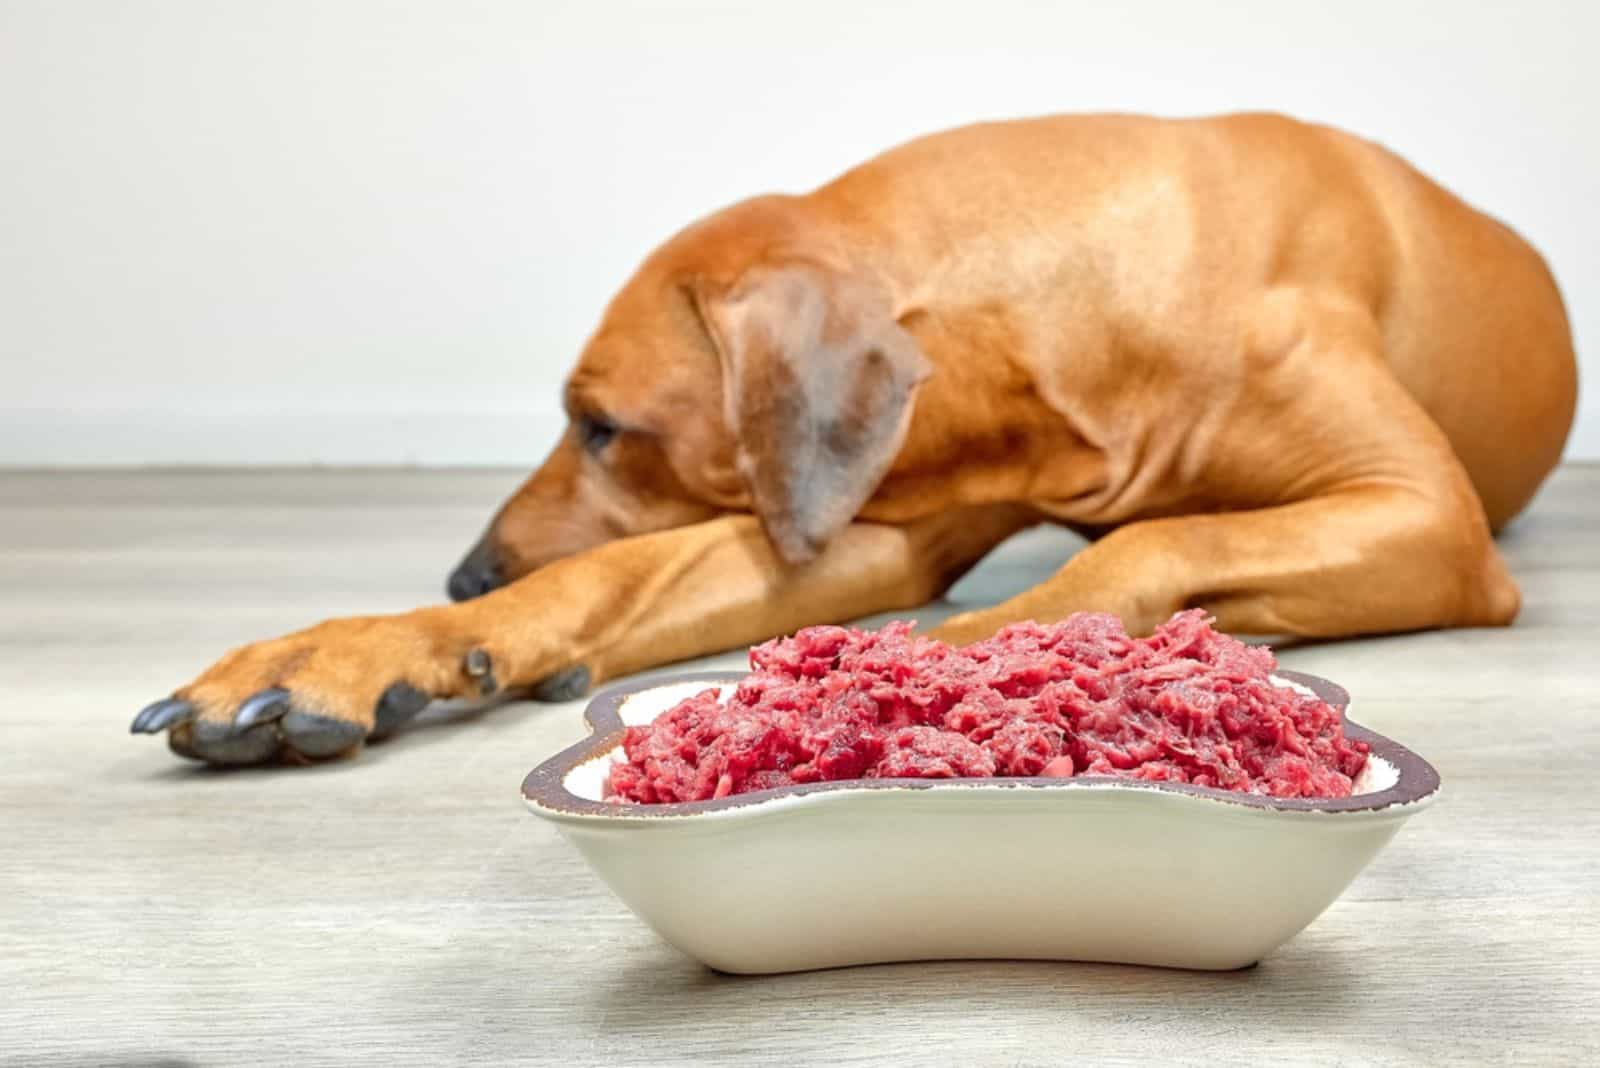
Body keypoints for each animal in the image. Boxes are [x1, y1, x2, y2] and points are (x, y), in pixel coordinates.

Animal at [128, 112, 1574, 764]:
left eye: (601, 427)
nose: (467, 573)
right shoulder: (878, 504)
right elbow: (611, 577)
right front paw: (374, 647)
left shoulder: (1425, 518)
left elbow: (1147, 544)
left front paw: (975, 652)